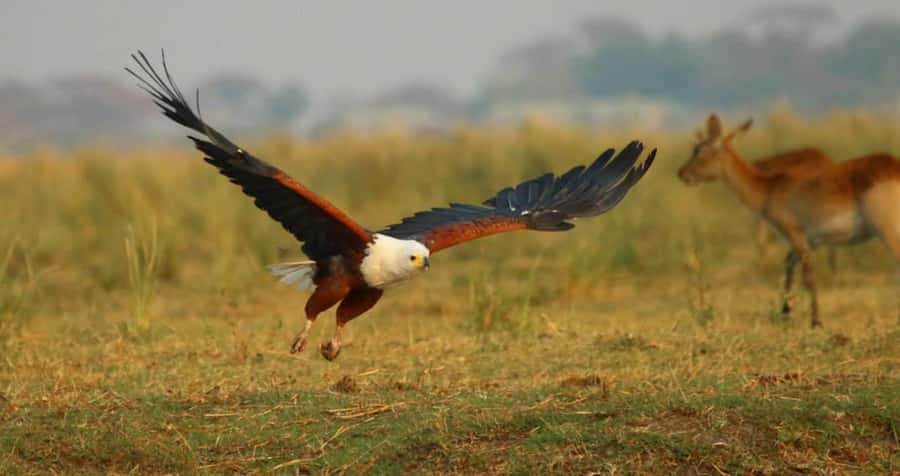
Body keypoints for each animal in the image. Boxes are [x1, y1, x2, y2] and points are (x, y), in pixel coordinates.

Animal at [678, 114, 900, 327]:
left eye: (699, 150)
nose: (682, 173)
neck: (769, 189)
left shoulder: (795, 233)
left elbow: (808, 274)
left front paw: (815, 321)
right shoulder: (809, 241)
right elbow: (788, 266)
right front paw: (785, 313)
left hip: (887, 230)